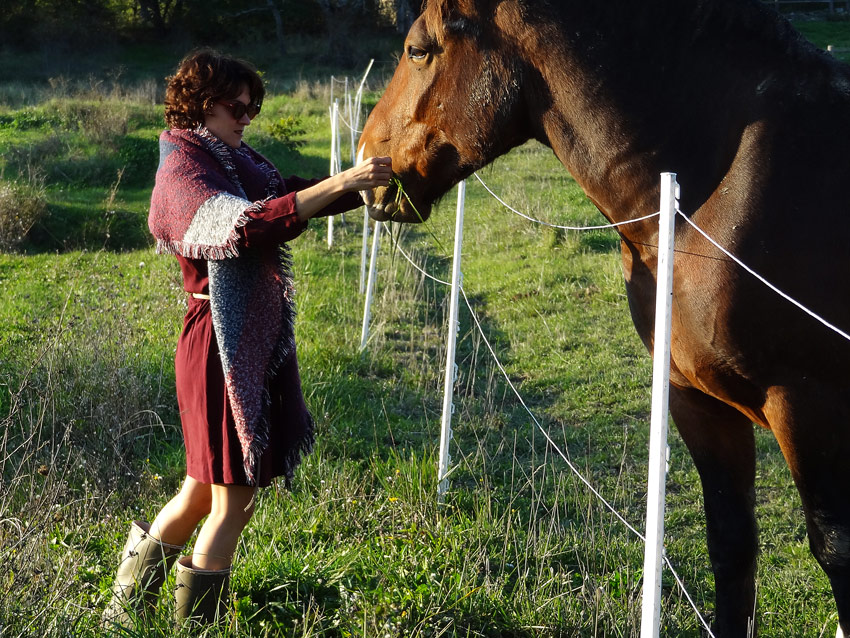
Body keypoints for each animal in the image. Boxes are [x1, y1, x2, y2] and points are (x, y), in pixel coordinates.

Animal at [360, 0, 850, 636]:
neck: (713, 188)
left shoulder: (807, 405)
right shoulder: (696, 399)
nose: (366, 162)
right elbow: (732, 546)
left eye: (418, 50)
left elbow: (836, 552)